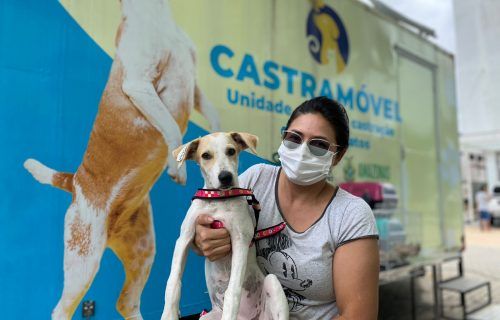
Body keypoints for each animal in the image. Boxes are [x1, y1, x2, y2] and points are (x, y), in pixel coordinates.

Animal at [23, 1, 219, 318]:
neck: (157, 16)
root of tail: (73, 182)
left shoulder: (194, 84)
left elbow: (211, 111)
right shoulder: (139, 84)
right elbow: (170, 126)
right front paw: (176, 167)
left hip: (143, 253)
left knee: (126, 302)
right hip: (84, 263)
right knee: (61, 310)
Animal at [160, 131, 290, 318]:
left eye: (231, 151)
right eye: (205, 155)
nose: (225, 177)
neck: (218, 200)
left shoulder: (240, 240)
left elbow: (233, 290)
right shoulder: (185, 237)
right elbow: (173, 282)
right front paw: (168, 315)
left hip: (272, 283)